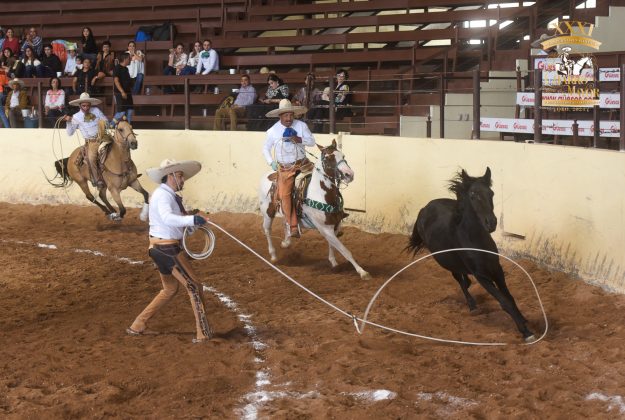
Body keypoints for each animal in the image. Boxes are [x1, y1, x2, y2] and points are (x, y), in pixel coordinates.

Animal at [258, 139, 370, 280]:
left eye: (343, 155)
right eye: (327, 158)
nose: (349, 174)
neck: (322, 193)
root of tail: (269, 175)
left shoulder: (335, 225)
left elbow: (333, 245)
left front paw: (333, 262)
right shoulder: (325, 228)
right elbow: (345, 250)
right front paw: (362, 272)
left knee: (286, 223)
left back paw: (286, 241)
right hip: (268, 212)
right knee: (267, 230)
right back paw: (273, 255)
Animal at [408, 167, 532, 342]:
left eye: (491, 193)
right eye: (473, 195)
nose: (491, 223)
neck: (474, 239)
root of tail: (424, 208)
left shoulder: (497, 269)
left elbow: (509, 297)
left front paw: (523, 320)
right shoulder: (482, 276)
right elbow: (504, 302)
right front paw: (526, 332)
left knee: (463, 279)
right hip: (447, 261)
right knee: (458, 279)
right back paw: (472, 306)